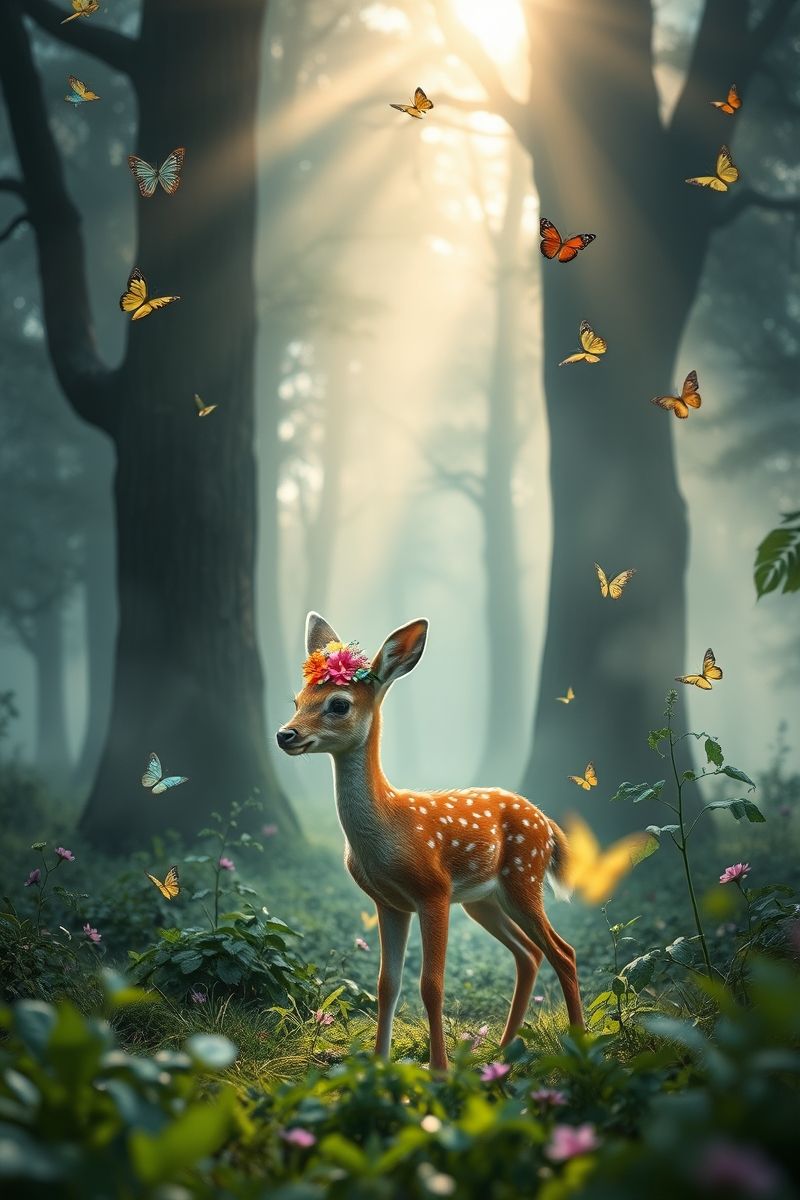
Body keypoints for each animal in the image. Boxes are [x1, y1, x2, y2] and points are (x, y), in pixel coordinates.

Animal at [276, 613, 583, 1070]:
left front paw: (439, 1070)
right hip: (483, 900)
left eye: (338, 704)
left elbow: (431, 984)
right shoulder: (388, 902)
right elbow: (387, 984)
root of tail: (545, 821)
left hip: (523, 878)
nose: (285, 735)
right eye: (297, 699)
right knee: (529, 954)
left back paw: (582, 1047)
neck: (387, 826)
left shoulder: (433, 890)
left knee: (563, 952)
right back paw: (501, 1051)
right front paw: (380, 1063)